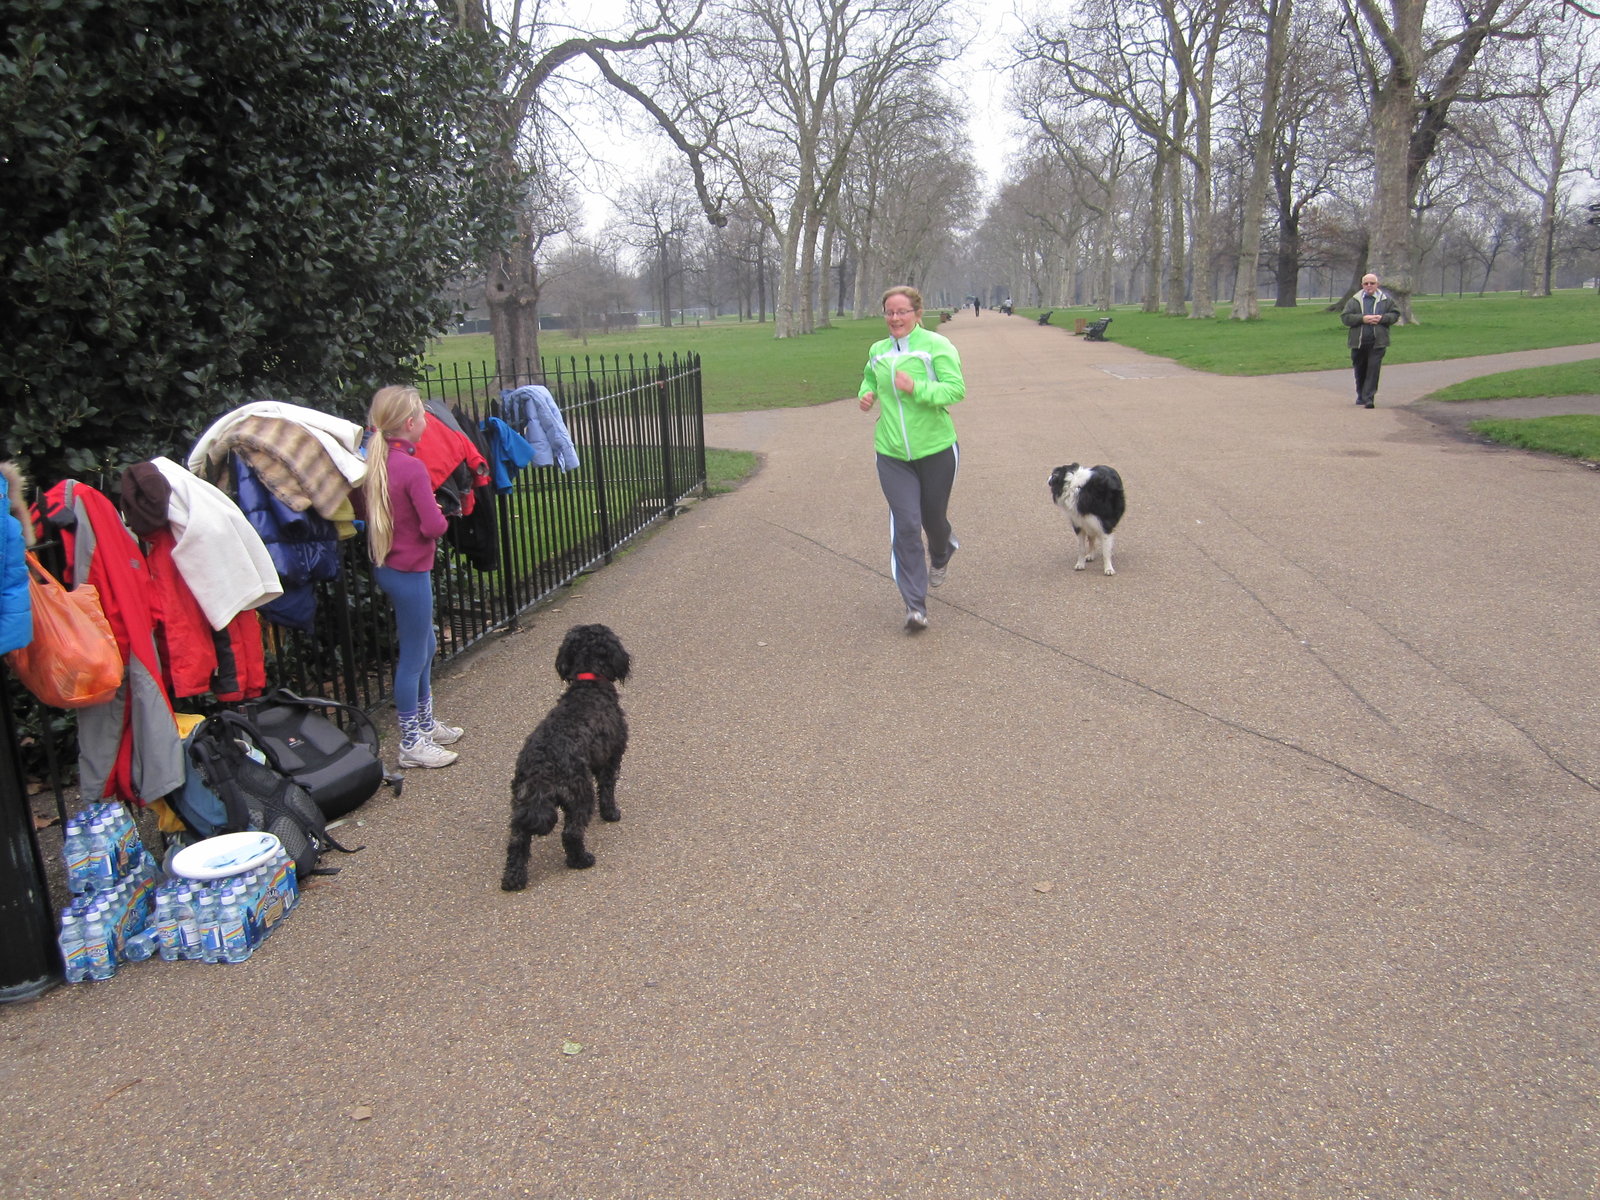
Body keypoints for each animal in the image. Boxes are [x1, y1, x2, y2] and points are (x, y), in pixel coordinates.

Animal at [500, 624, 632, 890]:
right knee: (571, 833)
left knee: (517, 842)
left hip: (521, 803)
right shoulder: (610, 759)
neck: (589, 684)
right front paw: (611, 814)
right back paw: (581, 860)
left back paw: (513, 879)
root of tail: (541, 769)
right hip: (580, 794)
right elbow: (608, 790)